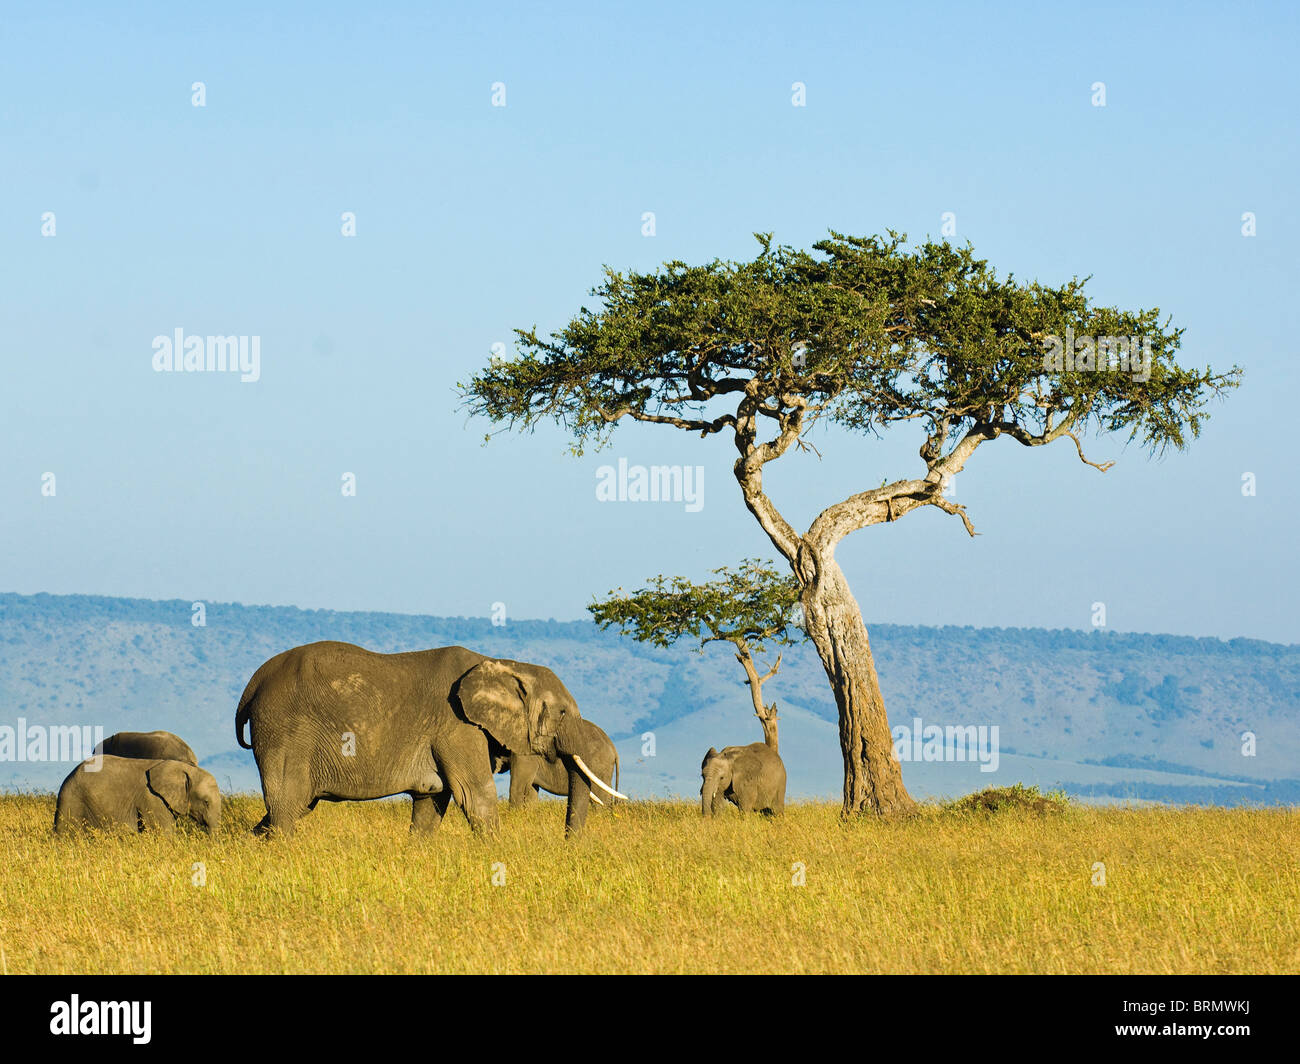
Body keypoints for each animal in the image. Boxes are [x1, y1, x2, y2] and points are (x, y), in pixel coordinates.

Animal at [236, 637, 626, 837]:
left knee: (291, 807)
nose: (569, 847)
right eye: (562, 713)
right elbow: (476, 797)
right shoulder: (457, 726)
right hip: (285, 731)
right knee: (287, 806)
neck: (503, 663)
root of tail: (251, 686)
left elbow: (431, 800)